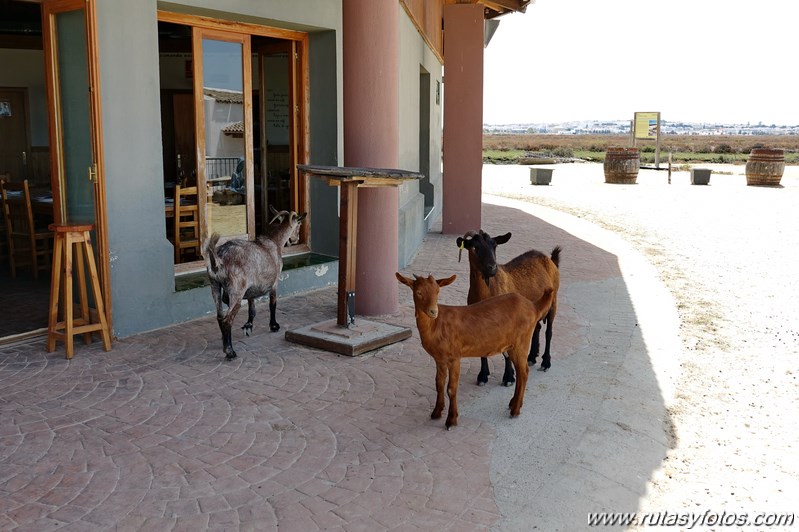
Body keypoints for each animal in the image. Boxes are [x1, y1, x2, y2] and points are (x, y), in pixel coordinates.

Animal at [203, 206, 306, 360]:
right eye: (299, 224)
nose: (295, 239)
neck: (274, 242)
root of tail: (218, 260)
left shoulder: (250, 287)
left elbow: (252, 306)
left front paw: (248, 325)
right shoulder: (275, 282)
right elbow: (272, 304)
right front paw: (274, 326)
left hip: (214, 285)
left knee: (220, 316)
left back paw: (224, 341)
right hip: (236, 289)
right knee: (227, 319)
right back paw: (230, 351)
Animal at [396, 272, 552, 430]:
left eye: (437, 291)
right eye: (418, 292)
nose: (433, 311)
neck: (436, 325)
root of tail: (533, 307)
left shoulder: (455, 357)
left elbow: (451, 388)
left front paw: (451, 420)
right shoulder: (439, 359)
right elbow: (439, 384)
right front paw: (436, 413)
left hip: (521, 343)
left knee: (524, 372)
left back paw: (515, 410)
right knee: (521, 373)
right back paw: (513, 404)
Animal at [456, 231, 564, 384]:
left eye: (495, 246)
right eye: (474, 247)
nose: (492, 268)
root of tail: (549, 259)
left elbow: (507, 350)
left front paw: (508, 377)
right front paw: (483, 375)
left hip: (553, 302)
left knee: (549, 332)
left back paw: (546, 363)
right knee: (537, 327)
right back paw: (532, 357)